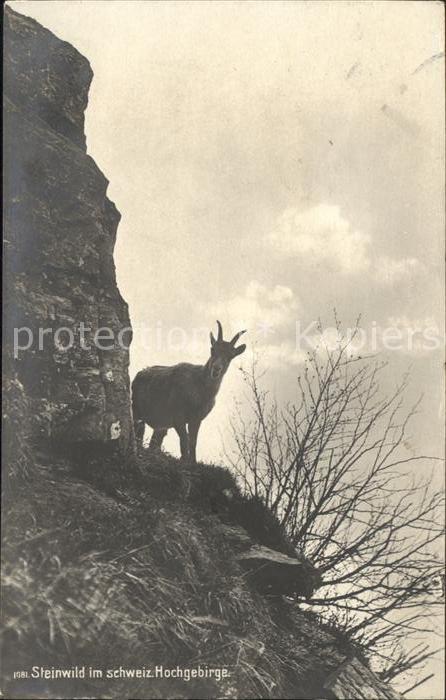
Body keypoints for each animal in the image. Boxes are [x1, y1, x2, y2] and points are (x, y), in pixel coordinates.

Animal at [131, 321, 246, 463]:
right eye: (212, 349)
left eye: (231, 356)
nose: (216, 369)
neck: (199, 390)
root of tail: (139, 374)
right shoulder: (178, 417)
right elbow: (184, 440)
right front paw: (184, 461)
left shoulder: (196, 419)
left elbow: (193, 441)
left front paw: (193, 462)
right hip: (137, 411)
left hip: (160, 424)